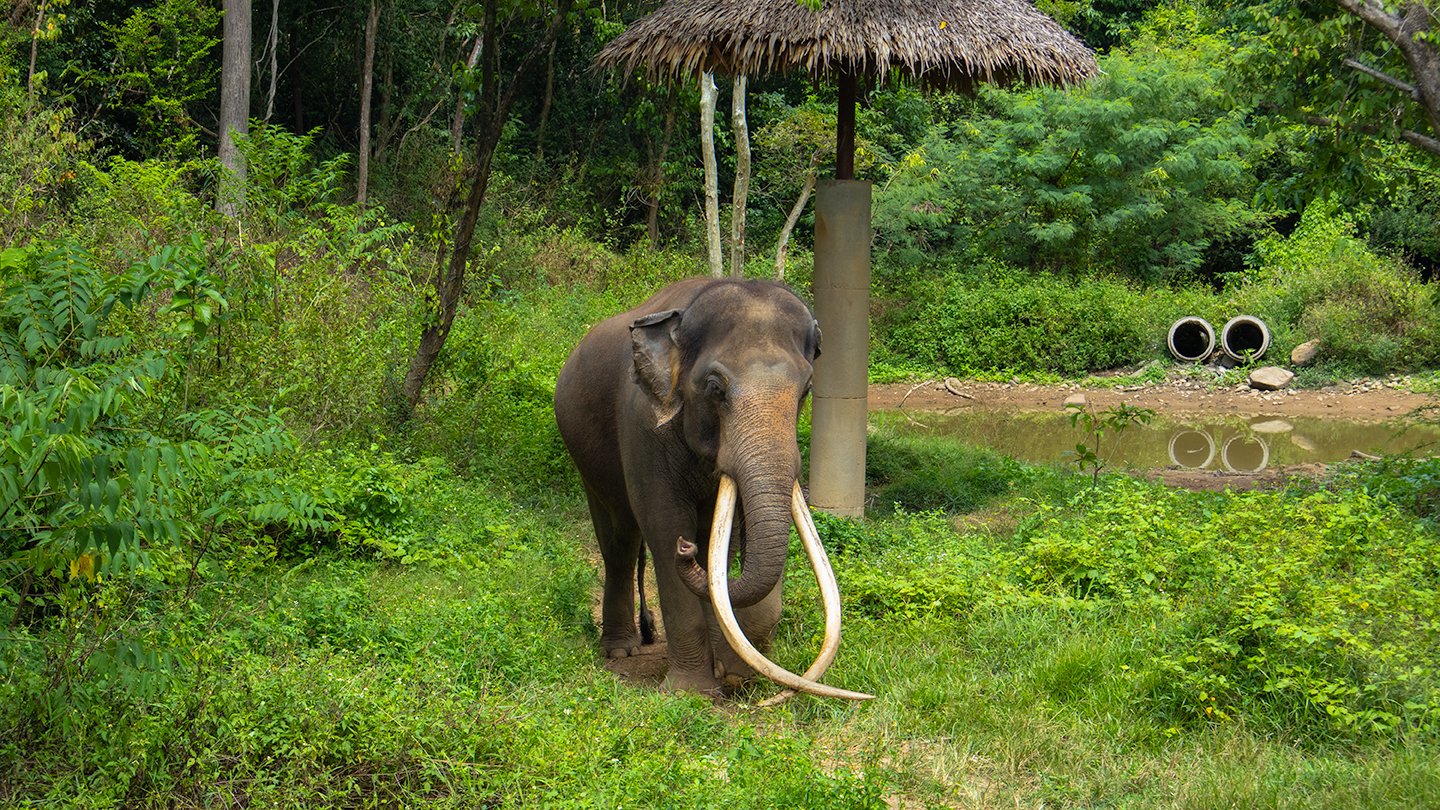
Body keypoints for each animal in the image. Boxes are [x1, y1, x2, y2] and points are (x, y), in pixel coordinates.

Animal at [553, 277, 871, 701]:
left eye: (806, 390)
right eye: (715, 389)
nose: (684, 552)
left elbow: (732, 540)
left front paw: (732, 675)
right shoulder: (642, 428)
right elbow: (664, 524)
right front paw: (691, 692)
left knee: (702, 541)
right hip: (584, 454)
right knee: (620, 538)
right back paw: (621, 651)